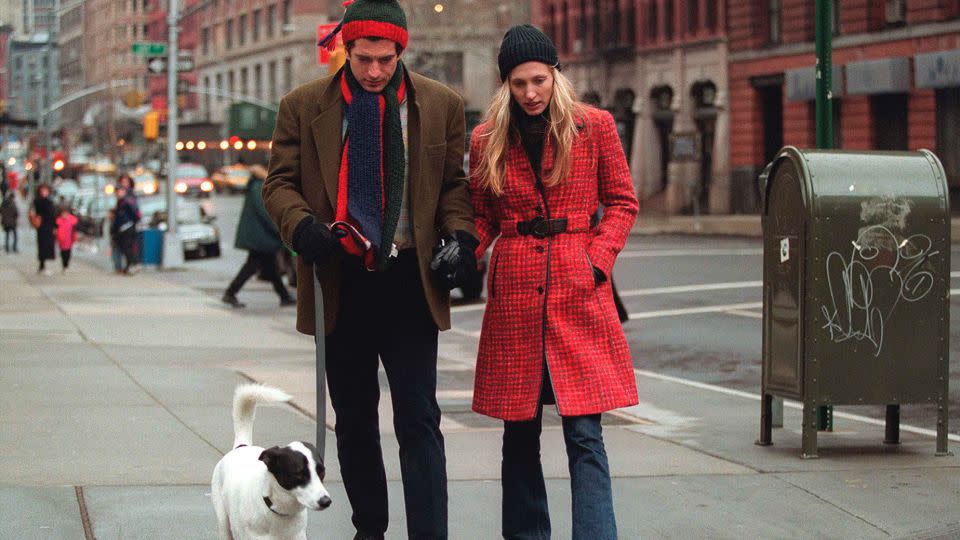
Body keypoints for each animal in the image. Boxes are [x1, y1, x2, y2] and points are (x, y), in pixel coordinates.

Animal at [210, 384, 330, 540]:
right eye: (299, 474)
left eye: (322, 472)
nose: (326, 501)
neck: (280, 511)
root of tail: (242, 446)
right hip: (223, 521)